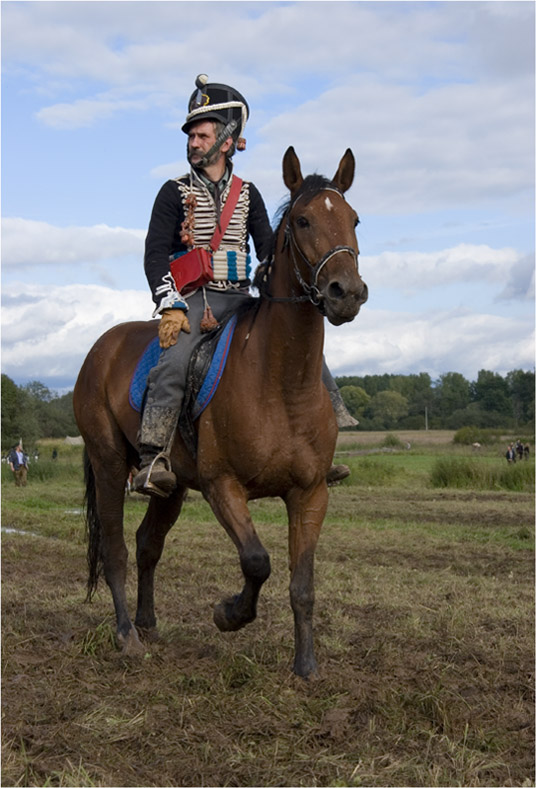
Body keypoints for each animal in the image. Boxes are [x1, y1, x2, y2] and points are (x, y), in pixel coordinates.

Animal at [73, 148, 368, 676]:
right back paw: (127, 635)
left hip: (170, 487)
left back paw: (148, 621)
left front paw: (306, 665)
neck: (281, 383)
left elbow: (302, 584)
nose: (346, 292)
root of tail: (101, 349)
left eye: (354, 219)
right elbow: (257, 561)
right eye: (304, 220)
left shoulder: (310, 494)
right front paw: (229, 614)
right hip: (108, 464)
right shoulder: (222, 486)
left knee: (148, 543)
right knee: (116, 549)